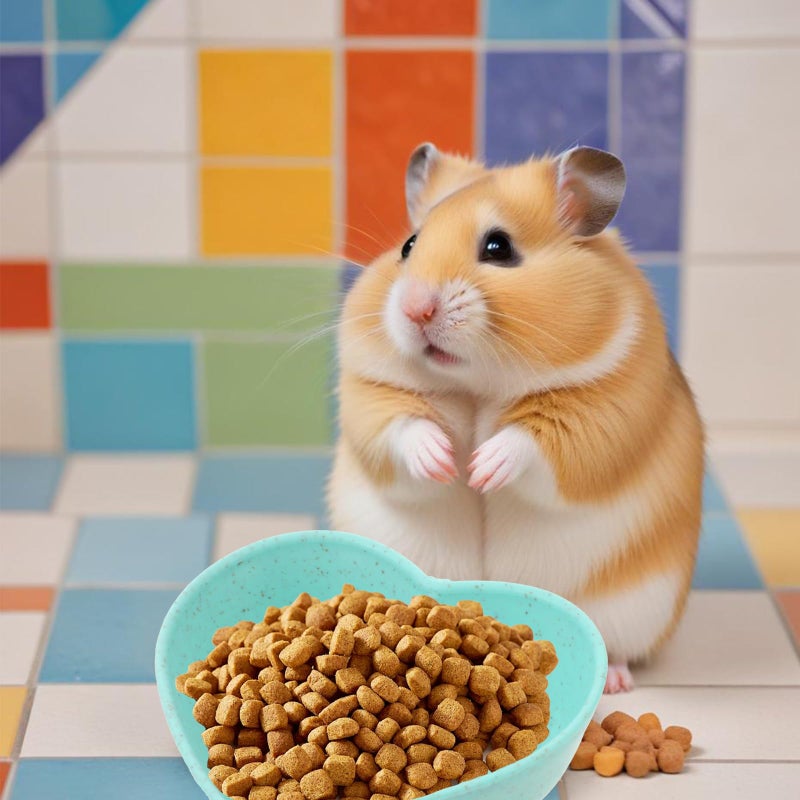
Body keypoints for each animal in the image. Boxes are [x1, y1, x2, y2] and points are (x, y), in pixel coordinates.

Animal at [328, 143, 704, 693]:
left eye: (498, 247)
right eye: (408, 246)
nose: (416, 308)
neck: (477, 384)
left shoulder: (604, 408)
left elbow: (531, 440)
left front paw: (481, 470)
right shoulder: (372, 397)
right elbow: (403, 430)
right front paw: (446, 463)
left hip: (636, 607)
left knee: (618, 650)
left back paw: (616, 682)